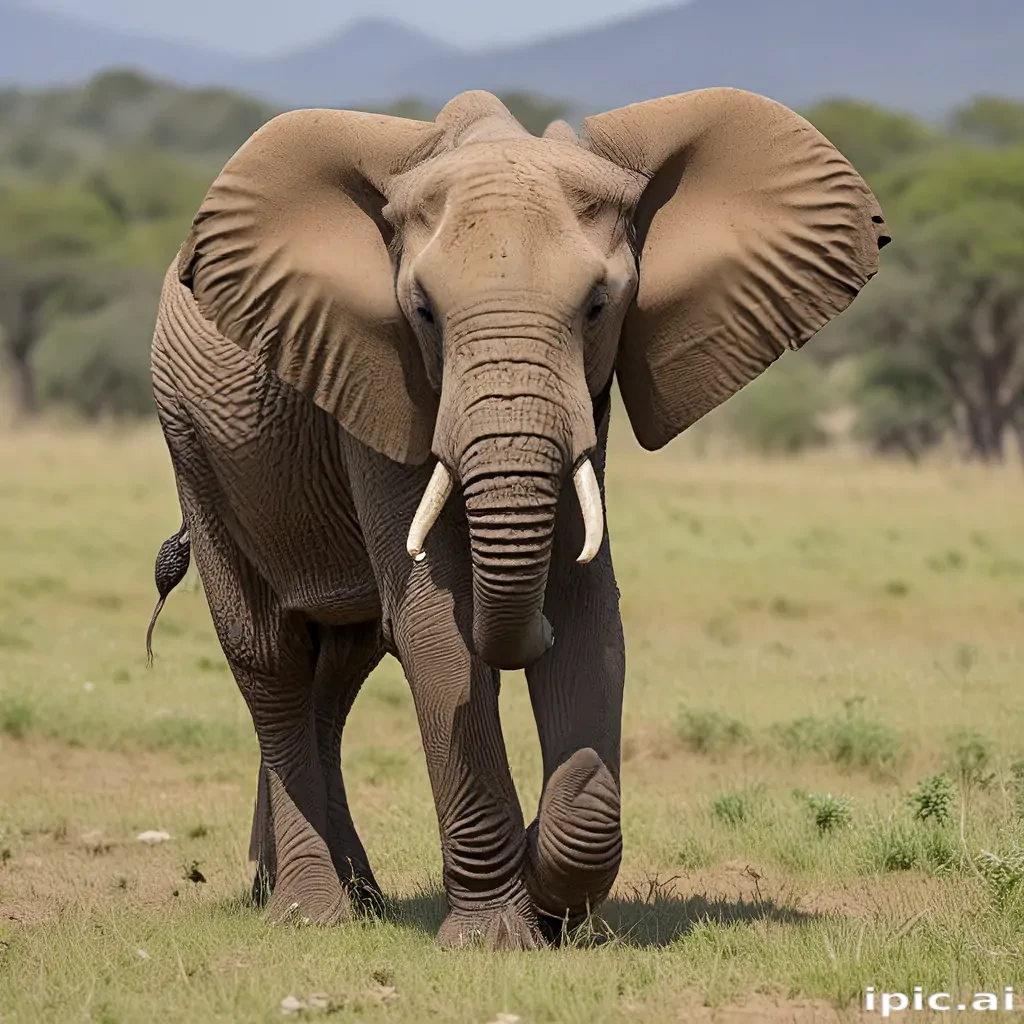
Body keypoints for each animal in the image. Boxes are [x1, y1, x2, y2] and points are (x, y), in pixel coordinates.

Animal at [146, 87, 889, 949]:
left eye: (599, 306)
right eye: (423, 312)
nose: (528, 633)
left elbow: (591, 610)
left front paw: (552, 902)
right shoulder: (380, 376)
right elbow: (434, 628)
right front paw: (495, 938)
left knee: (339, 667)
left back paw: (348, 898)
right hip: (191, 443)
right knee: (271, 659)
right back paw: (311, 913)